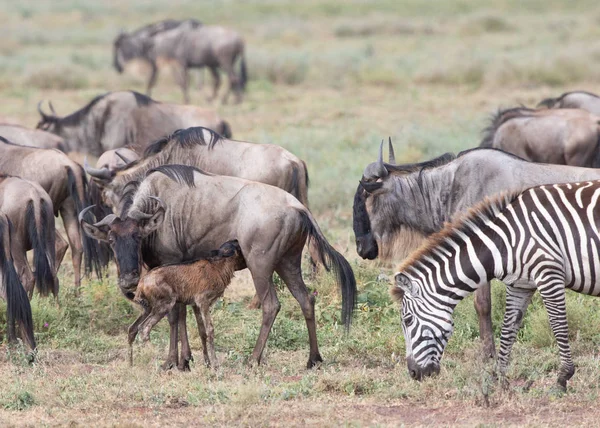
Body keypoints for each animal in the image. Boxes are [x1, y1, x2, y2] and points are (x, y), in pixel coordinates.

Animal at [392, 180, 600, 392]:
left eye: (407, 320)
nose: (413, 373)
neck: (503, 243)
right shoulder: (520, 285)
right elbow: (508, 329)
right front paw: (500, 379)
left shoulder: (548, 273)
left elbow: (558, 324)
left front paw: (563, 378)